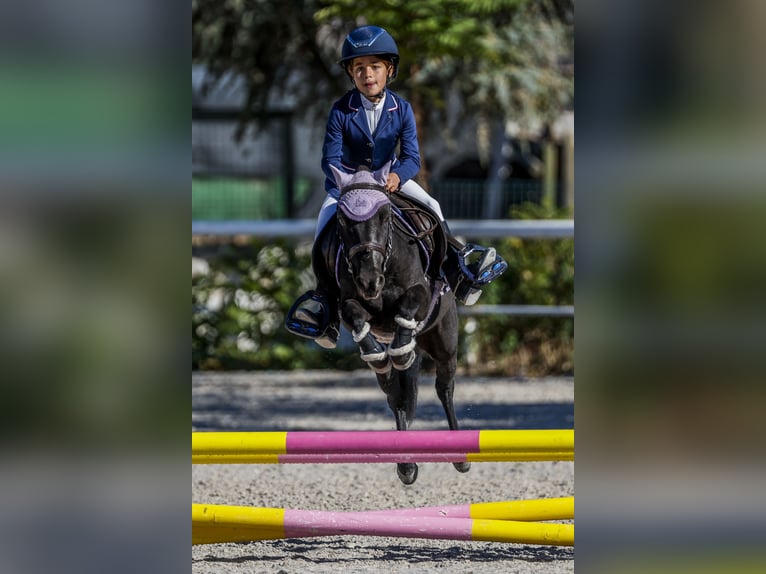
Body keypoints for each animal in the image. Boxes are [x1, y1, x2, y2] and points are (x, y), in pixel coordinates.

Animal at [324, 164, 468, 488]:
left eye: (385, 215)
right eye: (342, 219)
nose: (369, 281)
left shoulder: (421, 293)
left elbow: (408, 303)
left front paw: (401, 349)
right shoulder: (349, 302)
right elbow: (356, 316)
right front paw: (378, 353)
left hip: (444, 342)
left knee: (444, 387)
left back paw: (459, 456)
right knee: (396, 395)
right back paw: (406, 465)